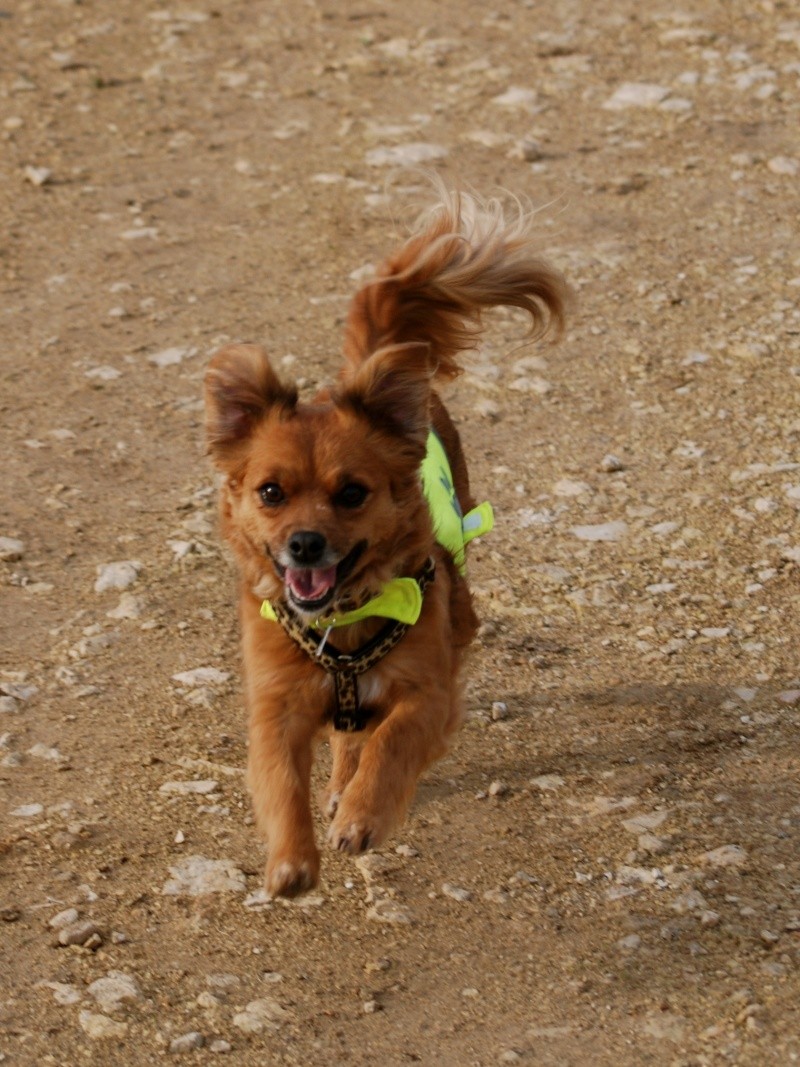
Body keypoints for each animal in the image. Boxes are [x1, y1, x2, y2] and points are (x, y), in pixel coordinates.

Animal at [206, 187, 571, 896]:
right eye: (271, 492)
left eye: (352, 493)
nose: (305, 544)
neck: (342, 626)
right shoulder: (276, 709)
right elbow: (281, 782)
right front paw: (291, 859)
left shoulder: (428, 694)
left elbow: (392, 743)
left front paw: (363, 816)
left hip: (460, 614)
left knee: (364, 735)